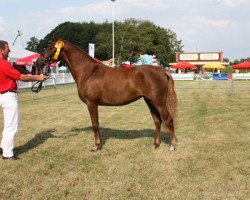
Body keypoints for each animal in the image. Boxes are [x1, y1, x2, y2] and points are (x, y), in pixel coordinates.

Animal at [37, 39, 178, 151]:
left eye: (51, 47)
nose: (38, 61)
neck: (88, 72)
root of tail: (161, 71)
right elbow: (96, 124)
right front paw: (98, 144)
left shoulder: (91, 103)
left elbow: (95, 124)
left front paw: (96, 146)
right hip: (149, 102)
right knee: (158, 121)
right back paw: (155, 144)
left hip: (159, 102)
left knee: (169, 120)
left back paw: (171, 146)